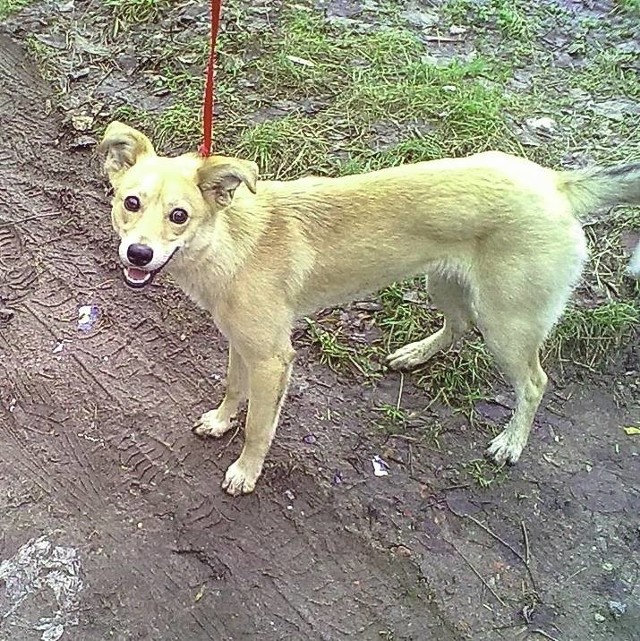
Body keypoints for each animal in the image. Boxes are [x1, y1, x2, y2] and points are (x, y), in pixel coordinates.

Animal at [99, 121, 640, 496]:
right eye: (131, 203)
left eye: (179, 216)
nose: (138, 255)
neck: (232, 242)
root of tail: (557, 182)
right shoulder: (243, 343)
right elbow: (234, 389)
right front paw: (220, 421)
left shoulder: (273, 358)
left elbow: (258, 426)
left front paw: (246, 471)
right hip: (444, 284)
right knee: (458, 324)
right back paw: (415, 353)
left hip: (507, 324)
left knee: (534, 382)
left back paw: (511, 442)